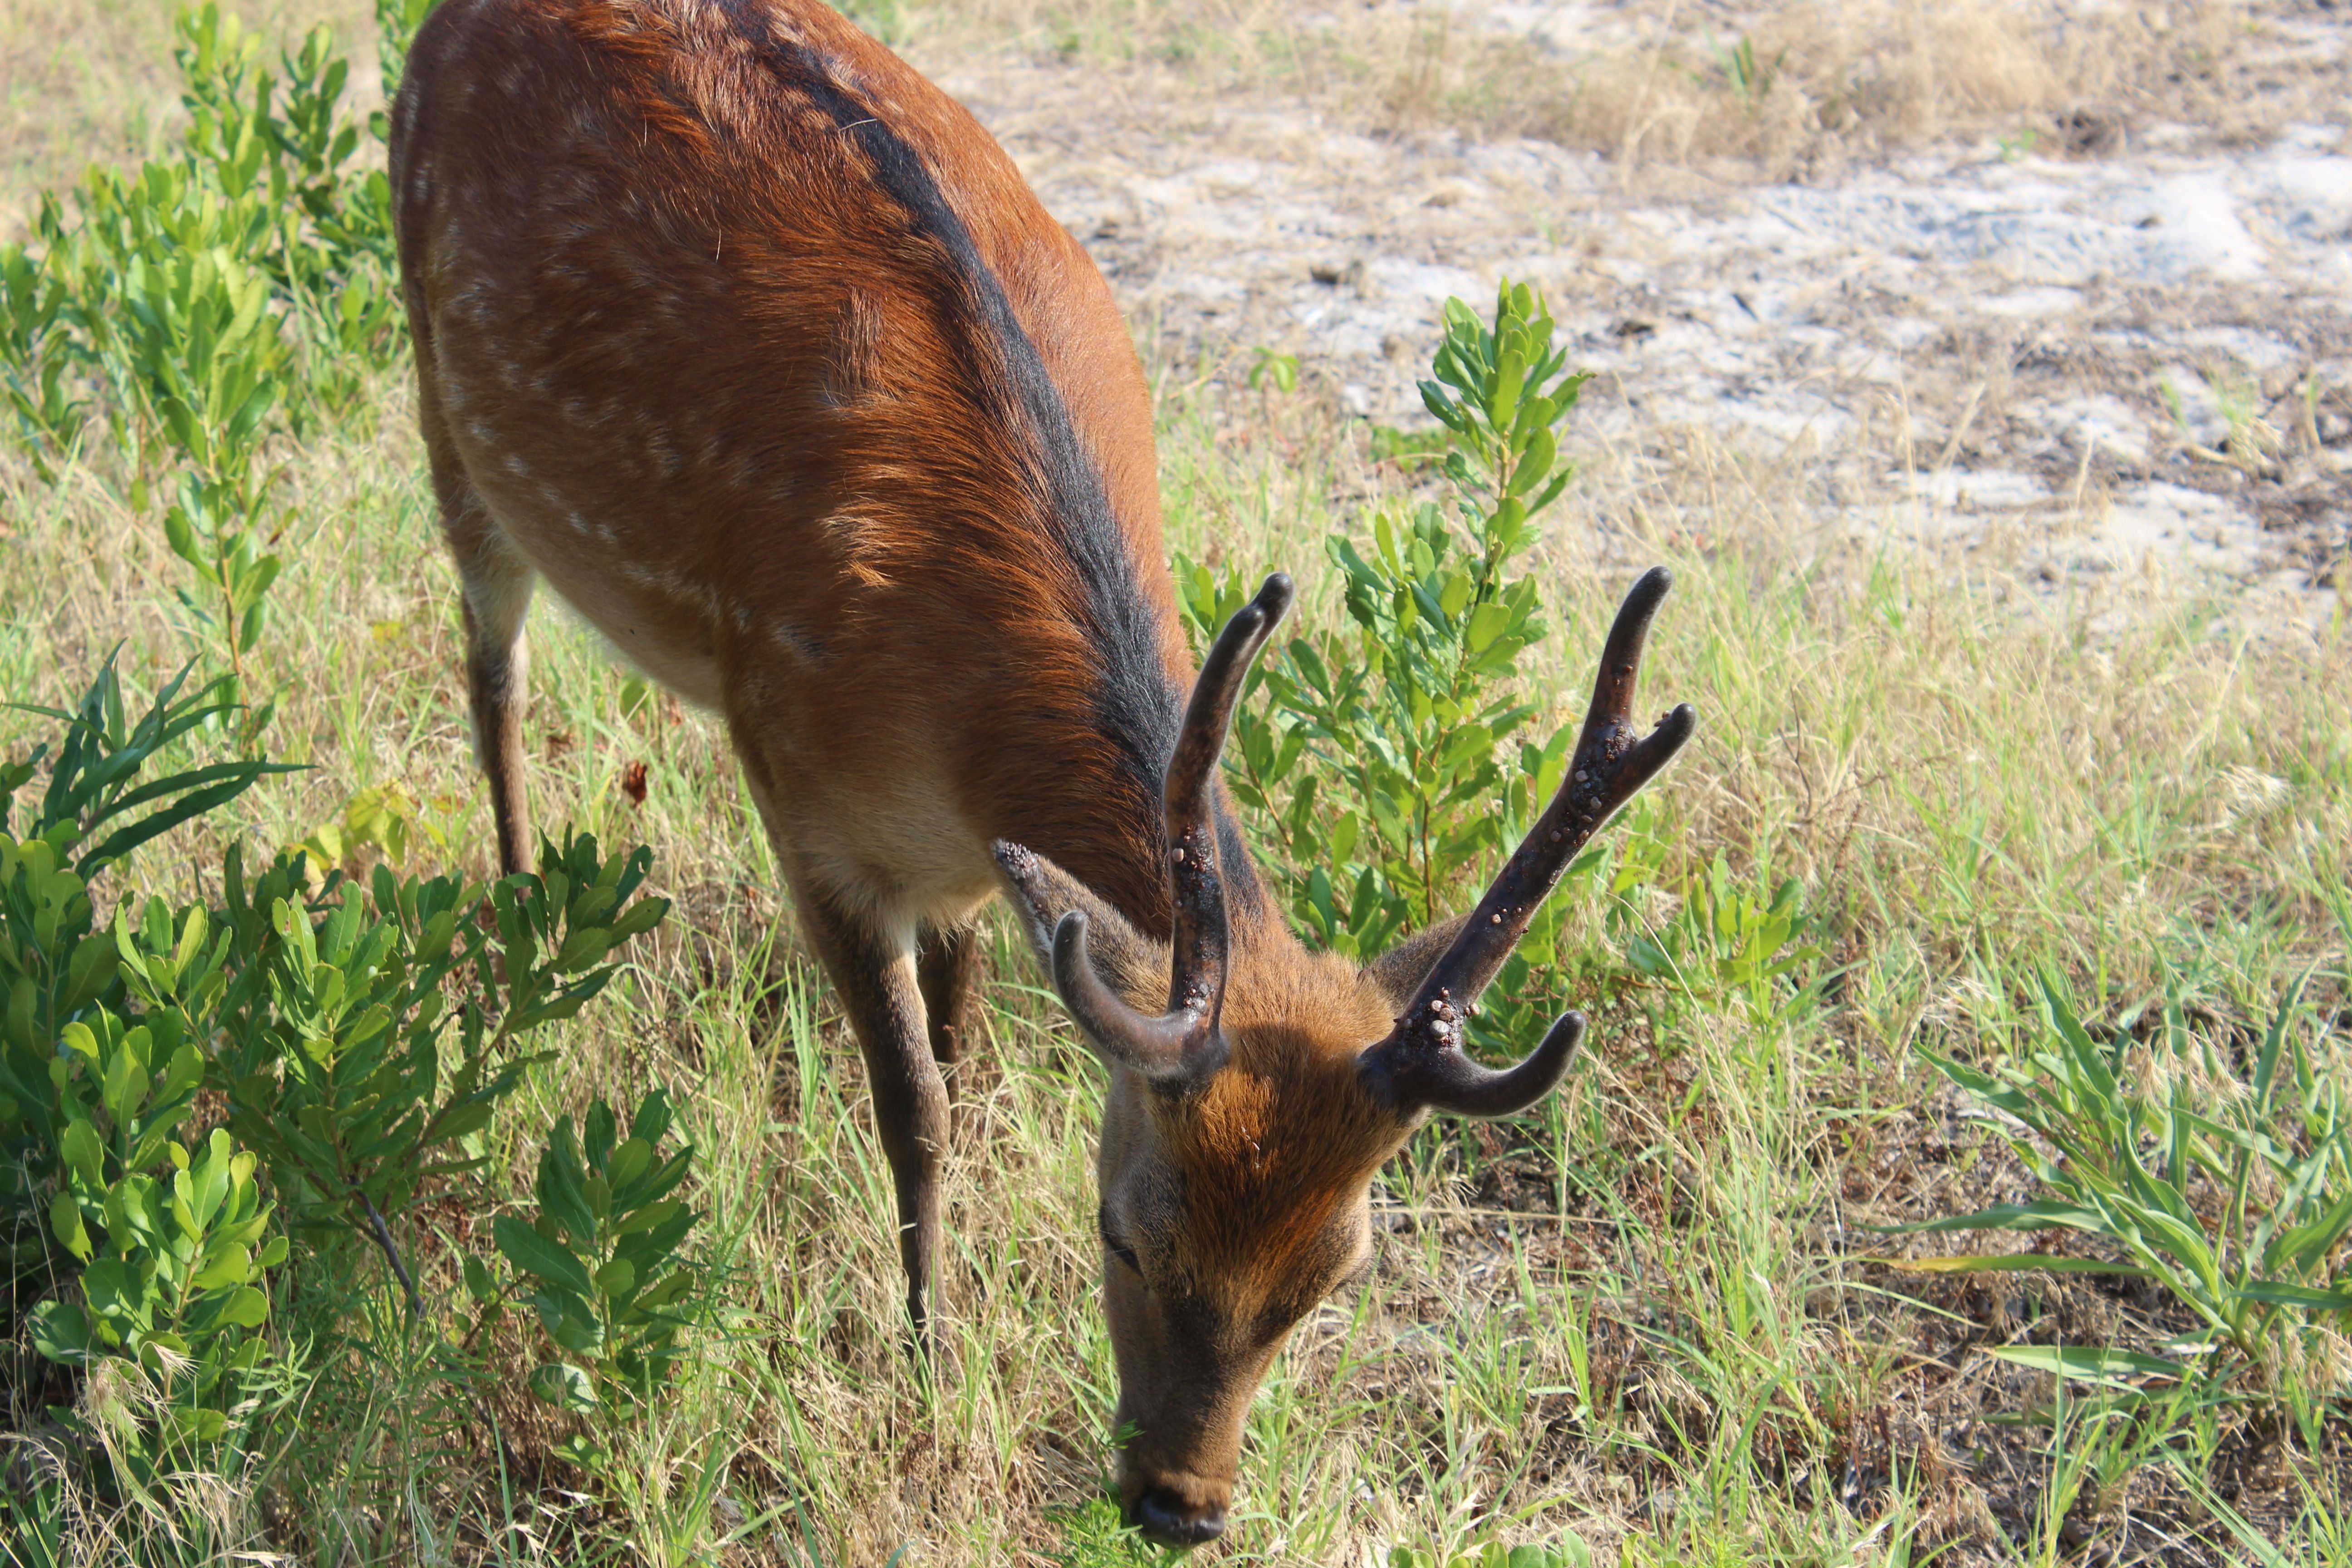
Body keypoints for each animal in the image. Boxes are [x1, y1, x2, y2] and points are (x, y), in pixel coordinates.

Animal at [395, 0, 1703, 1542]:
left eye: (1335, 1277)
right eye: (1125, 1237)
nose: (1180, 1505)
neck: (947, 717)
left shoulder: (968, 864)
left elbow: (963, 1060)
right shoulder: (795, 785)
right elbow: (917, 1109)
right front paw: (925, 1356)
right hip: (442, 391)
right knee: (491, 670)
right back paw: (519, 916)